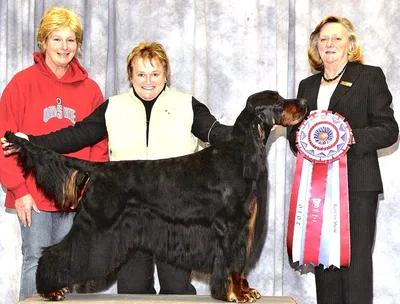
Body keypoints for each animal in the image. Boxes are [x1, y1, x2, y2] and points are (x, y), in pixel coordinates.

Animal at [3, 89, 306, 302]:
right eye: (278, 101)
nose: (303, 101)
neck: (240, 151)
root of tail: (98, 169)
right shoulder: (232, 225)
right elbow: (234, 263)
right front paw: (237, 294)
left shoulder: (241, 226)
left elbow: (239, 264)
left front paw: (244, 290)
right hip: (96, 224)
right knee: (58, 252)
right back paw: (49, 290)